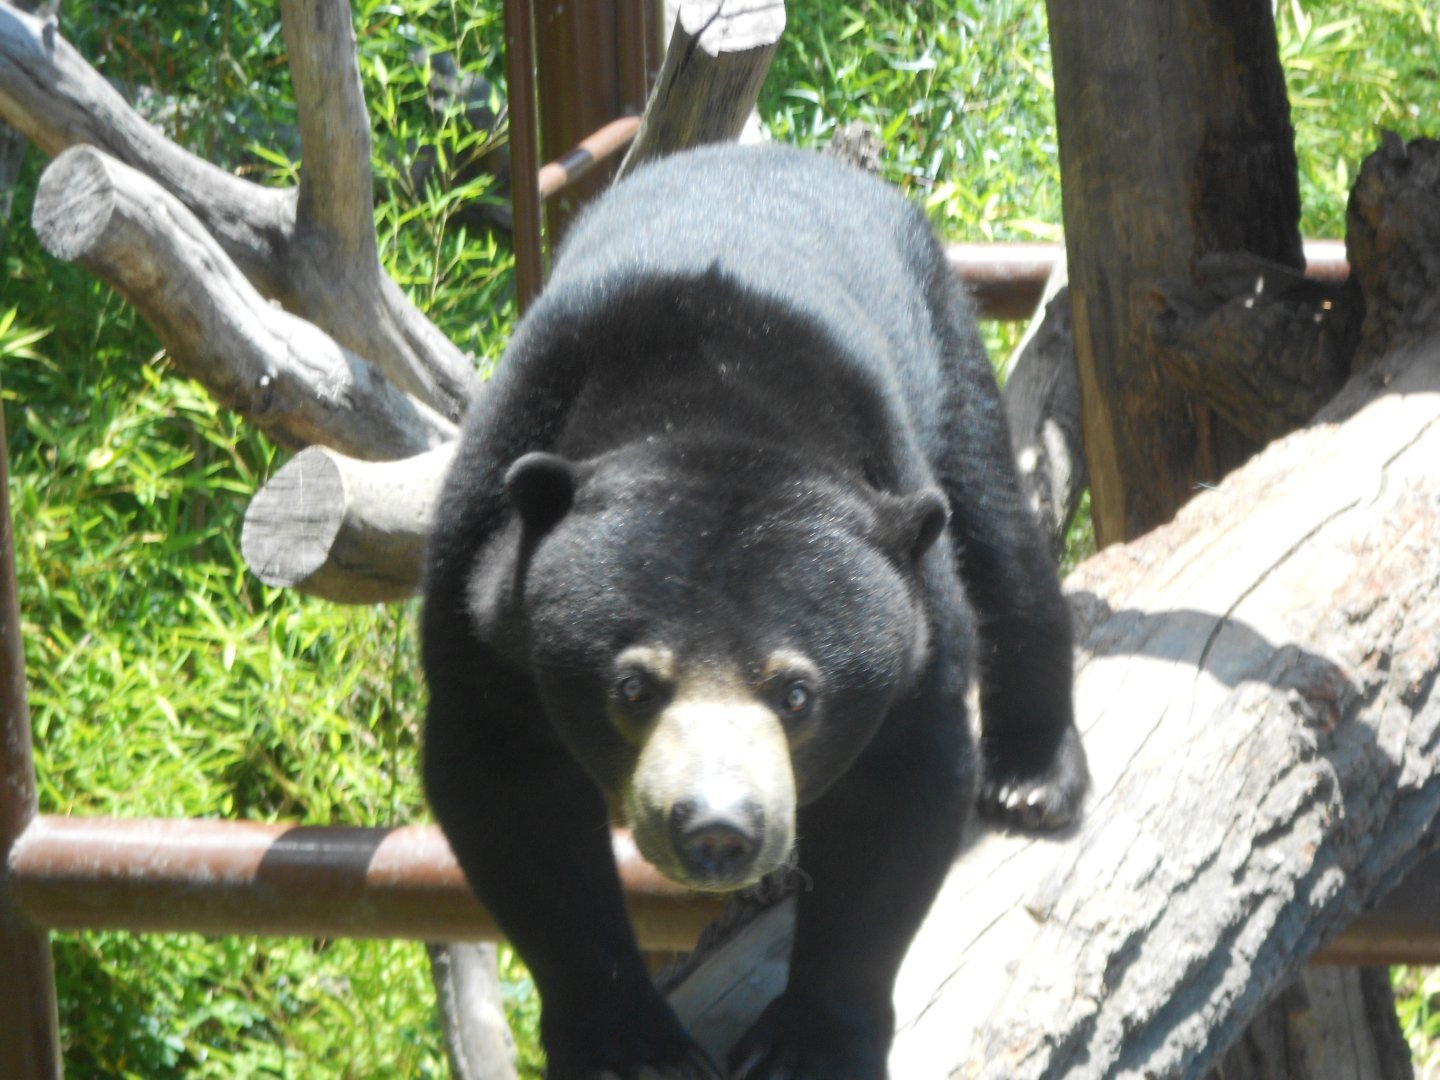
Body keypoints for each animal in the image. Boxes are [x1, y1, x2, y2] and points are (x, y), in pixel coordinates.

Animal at [421, 143, 1088, 1080]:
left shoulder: (904, 587)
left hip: (947, 338)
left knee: (996, 531)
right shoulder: (480, 590)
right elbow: (513, 801)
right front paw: (630, 1045)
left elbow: (896, 798)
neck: (708, 399)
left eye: (796, 693)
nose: (717, 831)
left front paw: (811, 1041)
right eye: (633, 687)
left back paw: (1032, 780)